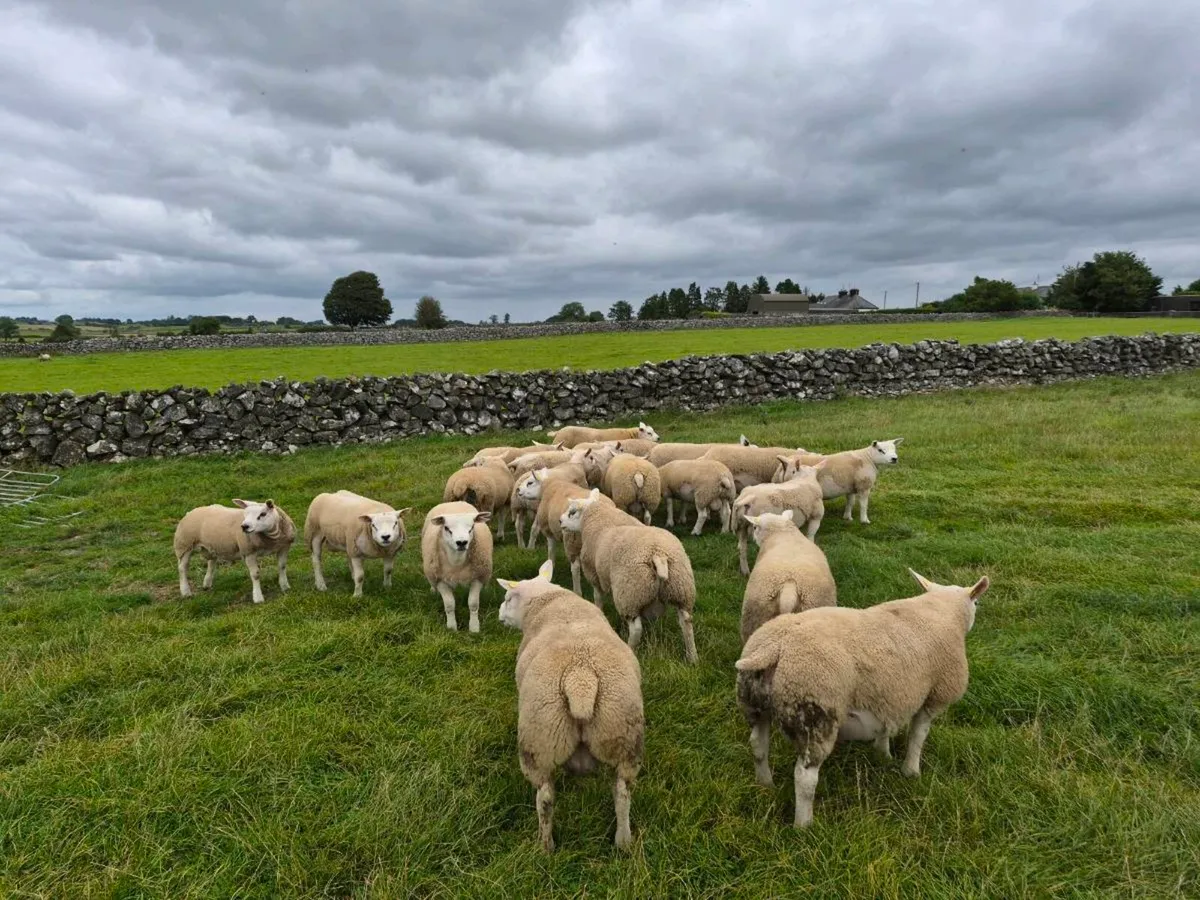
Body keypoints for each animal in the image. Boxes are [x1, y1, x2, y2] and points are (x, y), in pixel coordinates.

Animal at [420, 501, 493, 633]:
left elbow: (473, 604)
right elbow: (449, 605)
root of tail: (454, 502)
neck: (457, 562)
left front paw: (474, 628)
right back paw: (433, 590)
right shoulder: (440, 580)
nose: (461, 542)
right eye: (446, 528)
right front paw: (451, 627)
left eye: (472, 527)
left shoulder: (478, 577)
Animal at [497, 559, 644, 853]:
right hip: (623, 733)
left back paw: (545, 846)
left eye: (507, 598)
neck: (549, 600)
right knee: (622, 792)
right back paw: (623, 841)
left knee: (545, 799)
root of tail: (581, 679)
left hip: (540, 740)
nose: (498, 615)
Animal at [560, 488, 698, 663]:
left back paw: (631, 649)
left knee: (636, 629)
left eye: (572, 512)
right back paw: (692, 657)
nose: (560, 521)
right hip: (681, 590)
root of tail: (658, 554)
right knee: (686, 621)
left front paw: (598, 610)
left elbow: (597, 597)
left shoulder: (594, 573)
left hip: (629, 593)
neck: (595, 517)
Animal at [735, 568, 991, 828]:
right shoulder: (935, 695)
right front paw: (911, 772)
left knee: (758, 745)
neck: (940, 610)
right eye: (977, 602)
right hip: (816, 713)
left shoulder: (889, 695)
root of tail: (774, 648)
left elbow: (887, 726)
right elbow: (918, 736)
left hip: (754, 702)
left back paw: (765, 784)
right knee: (804, 777)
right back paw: (804, 826)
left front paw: (883, 754)